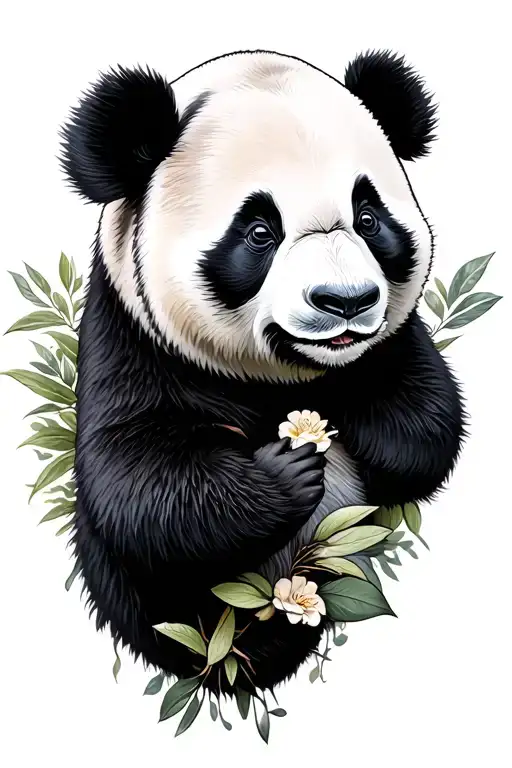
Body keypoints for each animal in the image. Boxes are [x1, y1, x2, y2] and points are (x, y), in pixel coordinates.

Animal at [60, 49, 465, 693]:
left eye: (368, 218)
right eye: (258, 232)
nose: (346, 300)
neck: (285, 378)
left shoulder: (397, 345)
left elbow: (427, 420)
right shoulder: (128, 338)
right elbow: (134, 475)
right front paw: (287, 472)